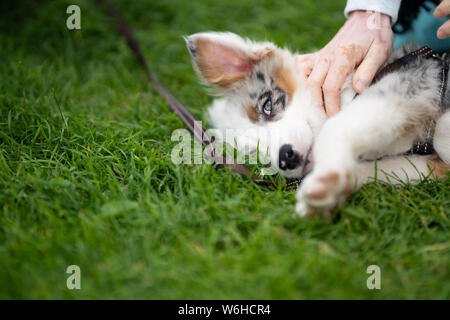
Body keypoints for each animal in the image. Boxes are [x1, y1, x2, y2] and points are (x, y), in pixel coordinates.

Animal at [184, 31, 450, 218]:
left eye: (267, 106)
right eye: (254, 152)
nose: (286, 158)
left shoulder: (408, 83)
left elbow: (335, 128)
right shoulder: (429, 164)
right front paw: (327, 187)